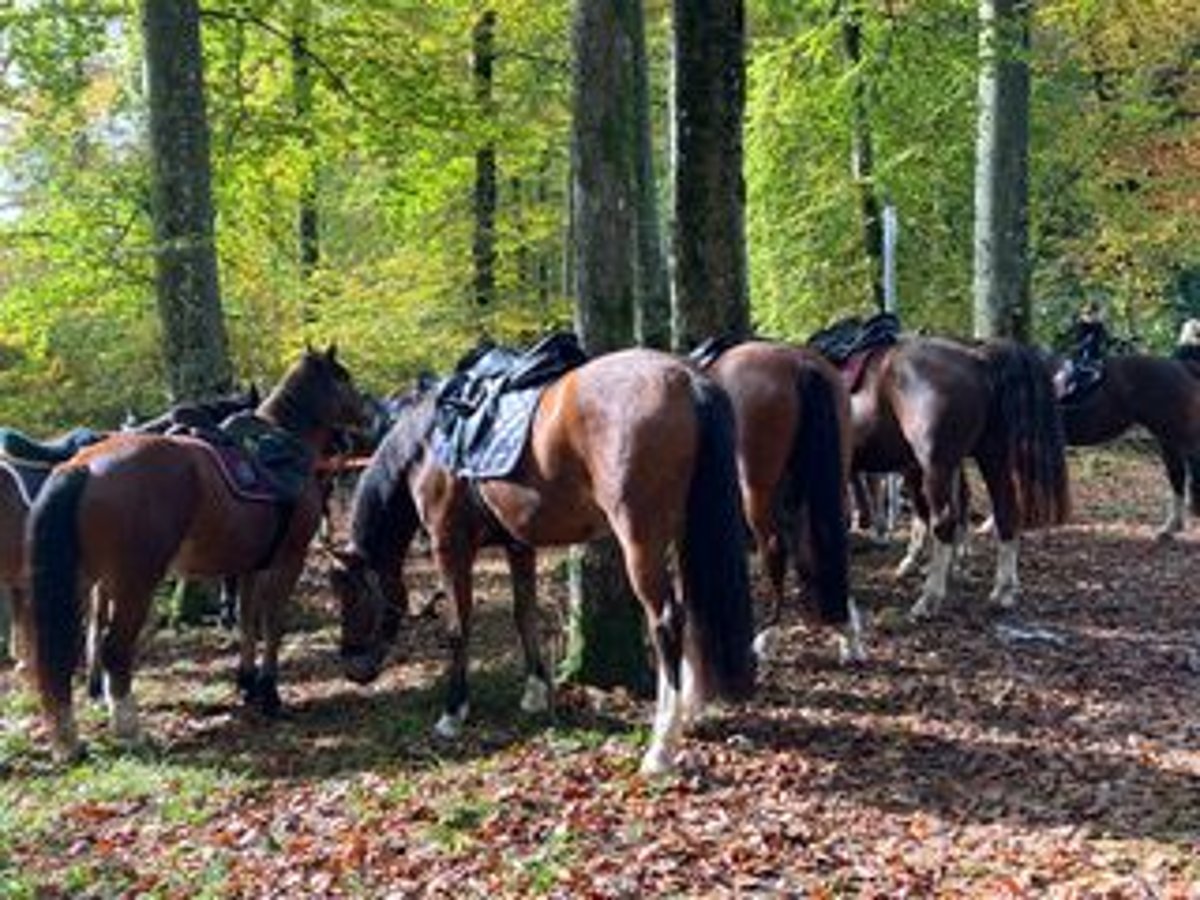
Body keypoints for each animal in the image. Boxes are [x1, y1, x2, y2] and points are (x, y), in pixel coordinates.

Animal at [24, 348, 360, 763]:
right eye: (344, 378)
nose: (365, 419)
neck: (285, 443)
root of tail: (83, 466)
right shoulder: (287, 561)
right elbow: (272, 625)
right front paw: (269, 693)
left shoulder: (250, 567)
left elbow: (246, 622)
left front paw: (246, 684)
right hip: (134, 584)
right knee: (115, 648)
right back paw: (129, 728)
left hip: (85, 582)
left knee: (71, 649)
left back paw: (72, 733)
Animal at [333, 348, 753, 777]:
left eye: (351, 596)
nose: (353, 668)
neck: (428, 443)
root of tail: (687, 379)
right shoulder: (519, 547)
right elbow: (525, 614)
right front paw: (534, 694)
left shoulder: (449, 546)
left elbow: (457, 627)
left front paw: (452, 714)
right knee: (693, 612)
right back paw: (689, 711)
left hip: (641, 538)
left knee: (667, 619)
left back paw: (660, 747)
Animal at [854, 338, 1070, 619]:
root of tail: (978, 358)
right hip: (990, 458)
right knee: (1005, 513)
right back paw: (1003, 591)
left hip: (937, 467)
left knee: (945, 521)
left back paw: (929, 599)